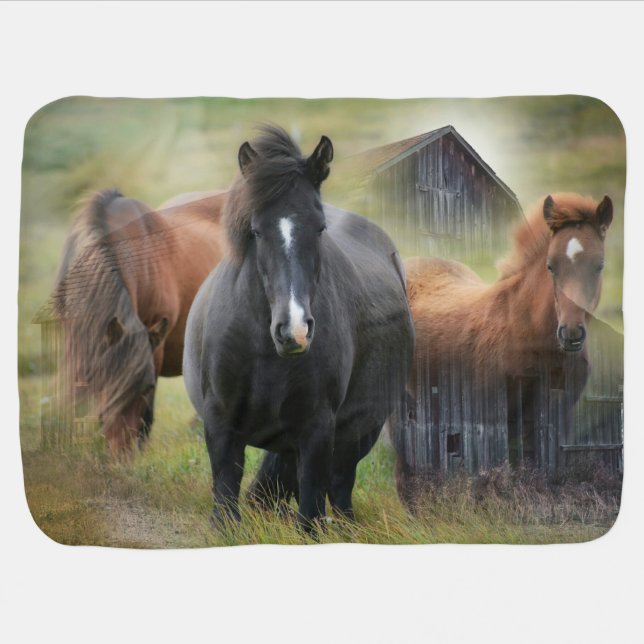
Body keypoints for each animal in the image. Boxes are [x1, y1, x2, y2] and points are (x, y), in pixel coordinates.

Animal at [183, 126, 414, 531]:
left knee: (340, 485)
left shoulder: (318, 427)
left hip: (361, 431)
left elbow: (310, 508)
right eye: (256, 231)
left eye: (320, 228)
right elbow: (226, 496)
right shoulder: (221, 422)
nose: (295, 331)